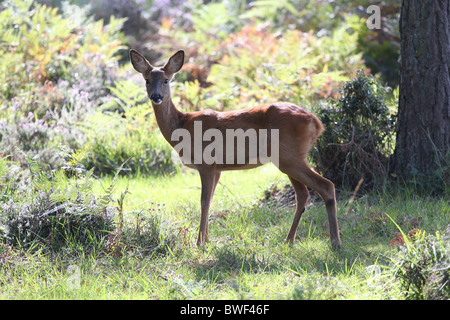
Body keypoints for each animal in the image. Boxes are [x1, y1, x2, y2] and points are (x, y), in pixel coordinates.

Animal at [129, 48, 342, 248]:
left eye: (166, 80)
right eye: (147, 80)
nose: (156, 96)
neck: (183, 125)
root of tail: (316, 122)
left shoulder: (206, 163)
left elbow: (203, 201)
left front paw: (199, 243)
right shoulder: (217, 169)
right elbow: (211, 200)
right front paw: (207, 239)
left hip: (288, 157)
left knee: (326, 186)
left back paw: (335, 242)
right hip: (289, 158)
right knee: (303, 194)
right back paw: (289, 240)